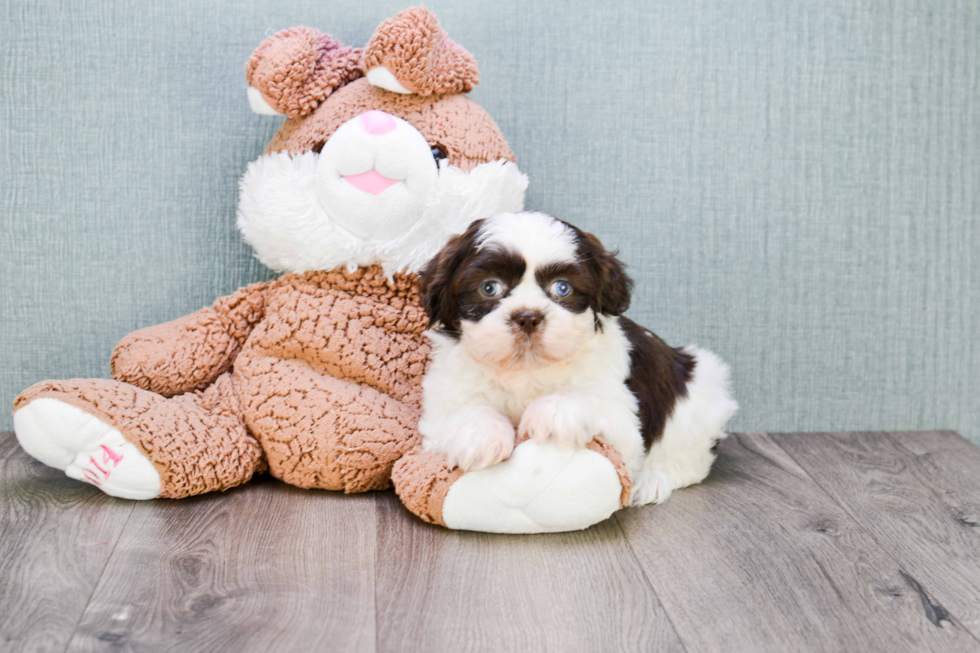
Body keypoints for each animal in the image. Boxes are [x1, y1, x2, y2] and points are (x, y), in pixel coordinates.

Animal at [418, 211, 740, 506]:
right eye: (489, 287)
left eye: (562, 288)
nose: (527, 317)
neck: (526, 369)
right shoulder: (442, 399)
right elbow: (463, 410)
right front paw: (480, 434)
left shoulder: (622, 418)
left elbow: (587, 399)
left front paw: (553, 412)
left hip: (701, 392)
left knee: (688, 460)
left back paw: (652, 481)